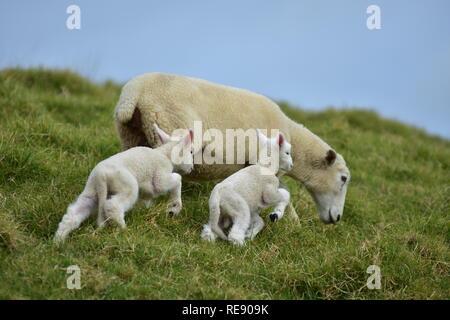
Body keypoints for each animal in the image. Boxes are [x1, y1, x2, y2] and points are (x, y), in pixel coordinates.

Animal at [53, 124, 193, 242]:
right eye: (191, 152)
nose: (191, 168)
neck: (165, 154)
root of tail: (101, 176)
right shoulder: (160, 178)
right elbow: (177, 178)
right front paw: (175, 206)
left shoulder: (147, 189)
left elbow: (147, 198)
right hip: (127, 186)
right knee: (113, 206)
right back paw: (124, 230)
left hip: (91, 191)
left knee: (73, 214)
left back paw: (58, 241)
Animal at [113, 72, 352, 224]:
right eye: (343, 179)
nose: (337, 219)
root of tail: (133, 93)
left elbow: (284, 191)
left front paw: (293, 222)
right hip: (167, 125)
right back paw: (171, 208)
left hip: (132, 135)